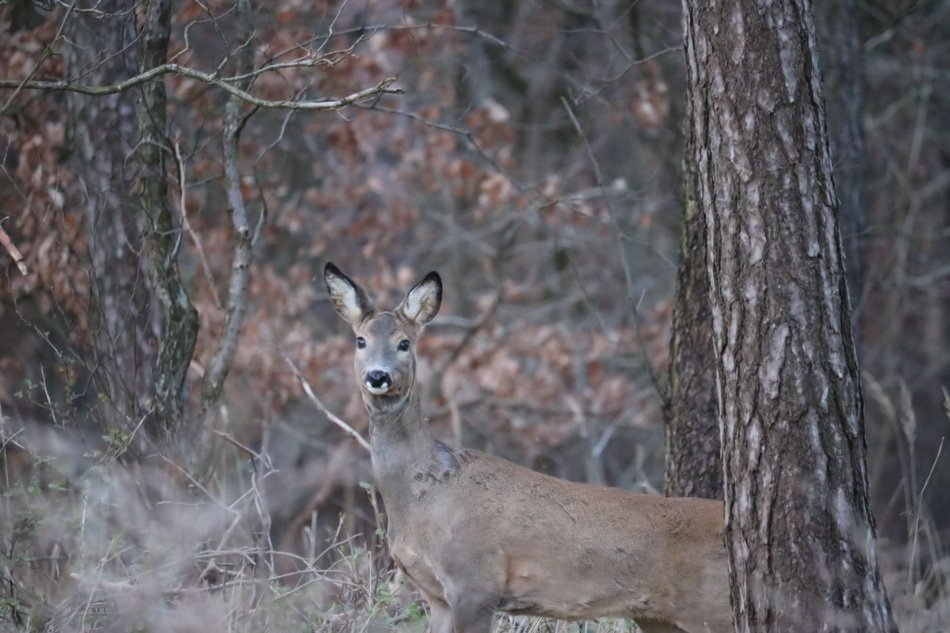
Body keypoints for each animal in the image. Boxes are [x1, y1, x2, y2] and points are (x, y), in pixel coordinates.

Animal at [323, 263, 732, 633]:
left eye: (404, 343)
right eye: (360, 340)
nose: (378, 376)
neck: (423, 495)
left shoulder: (476, 581)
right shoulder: (435, 594)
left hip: (712, 608)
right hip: (658, 617)